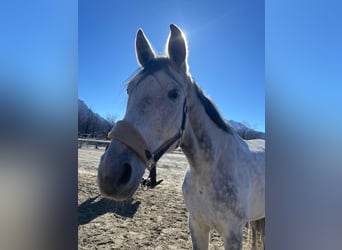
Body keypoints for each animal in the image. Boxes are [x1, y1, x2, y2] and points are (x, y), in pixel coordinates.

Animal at [97, 23, 266, 250]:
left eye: (174, 94)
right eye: (129, 90)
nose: (111, 174)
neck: (209, 171)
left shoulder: (232, 234)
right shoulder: (196, 224)